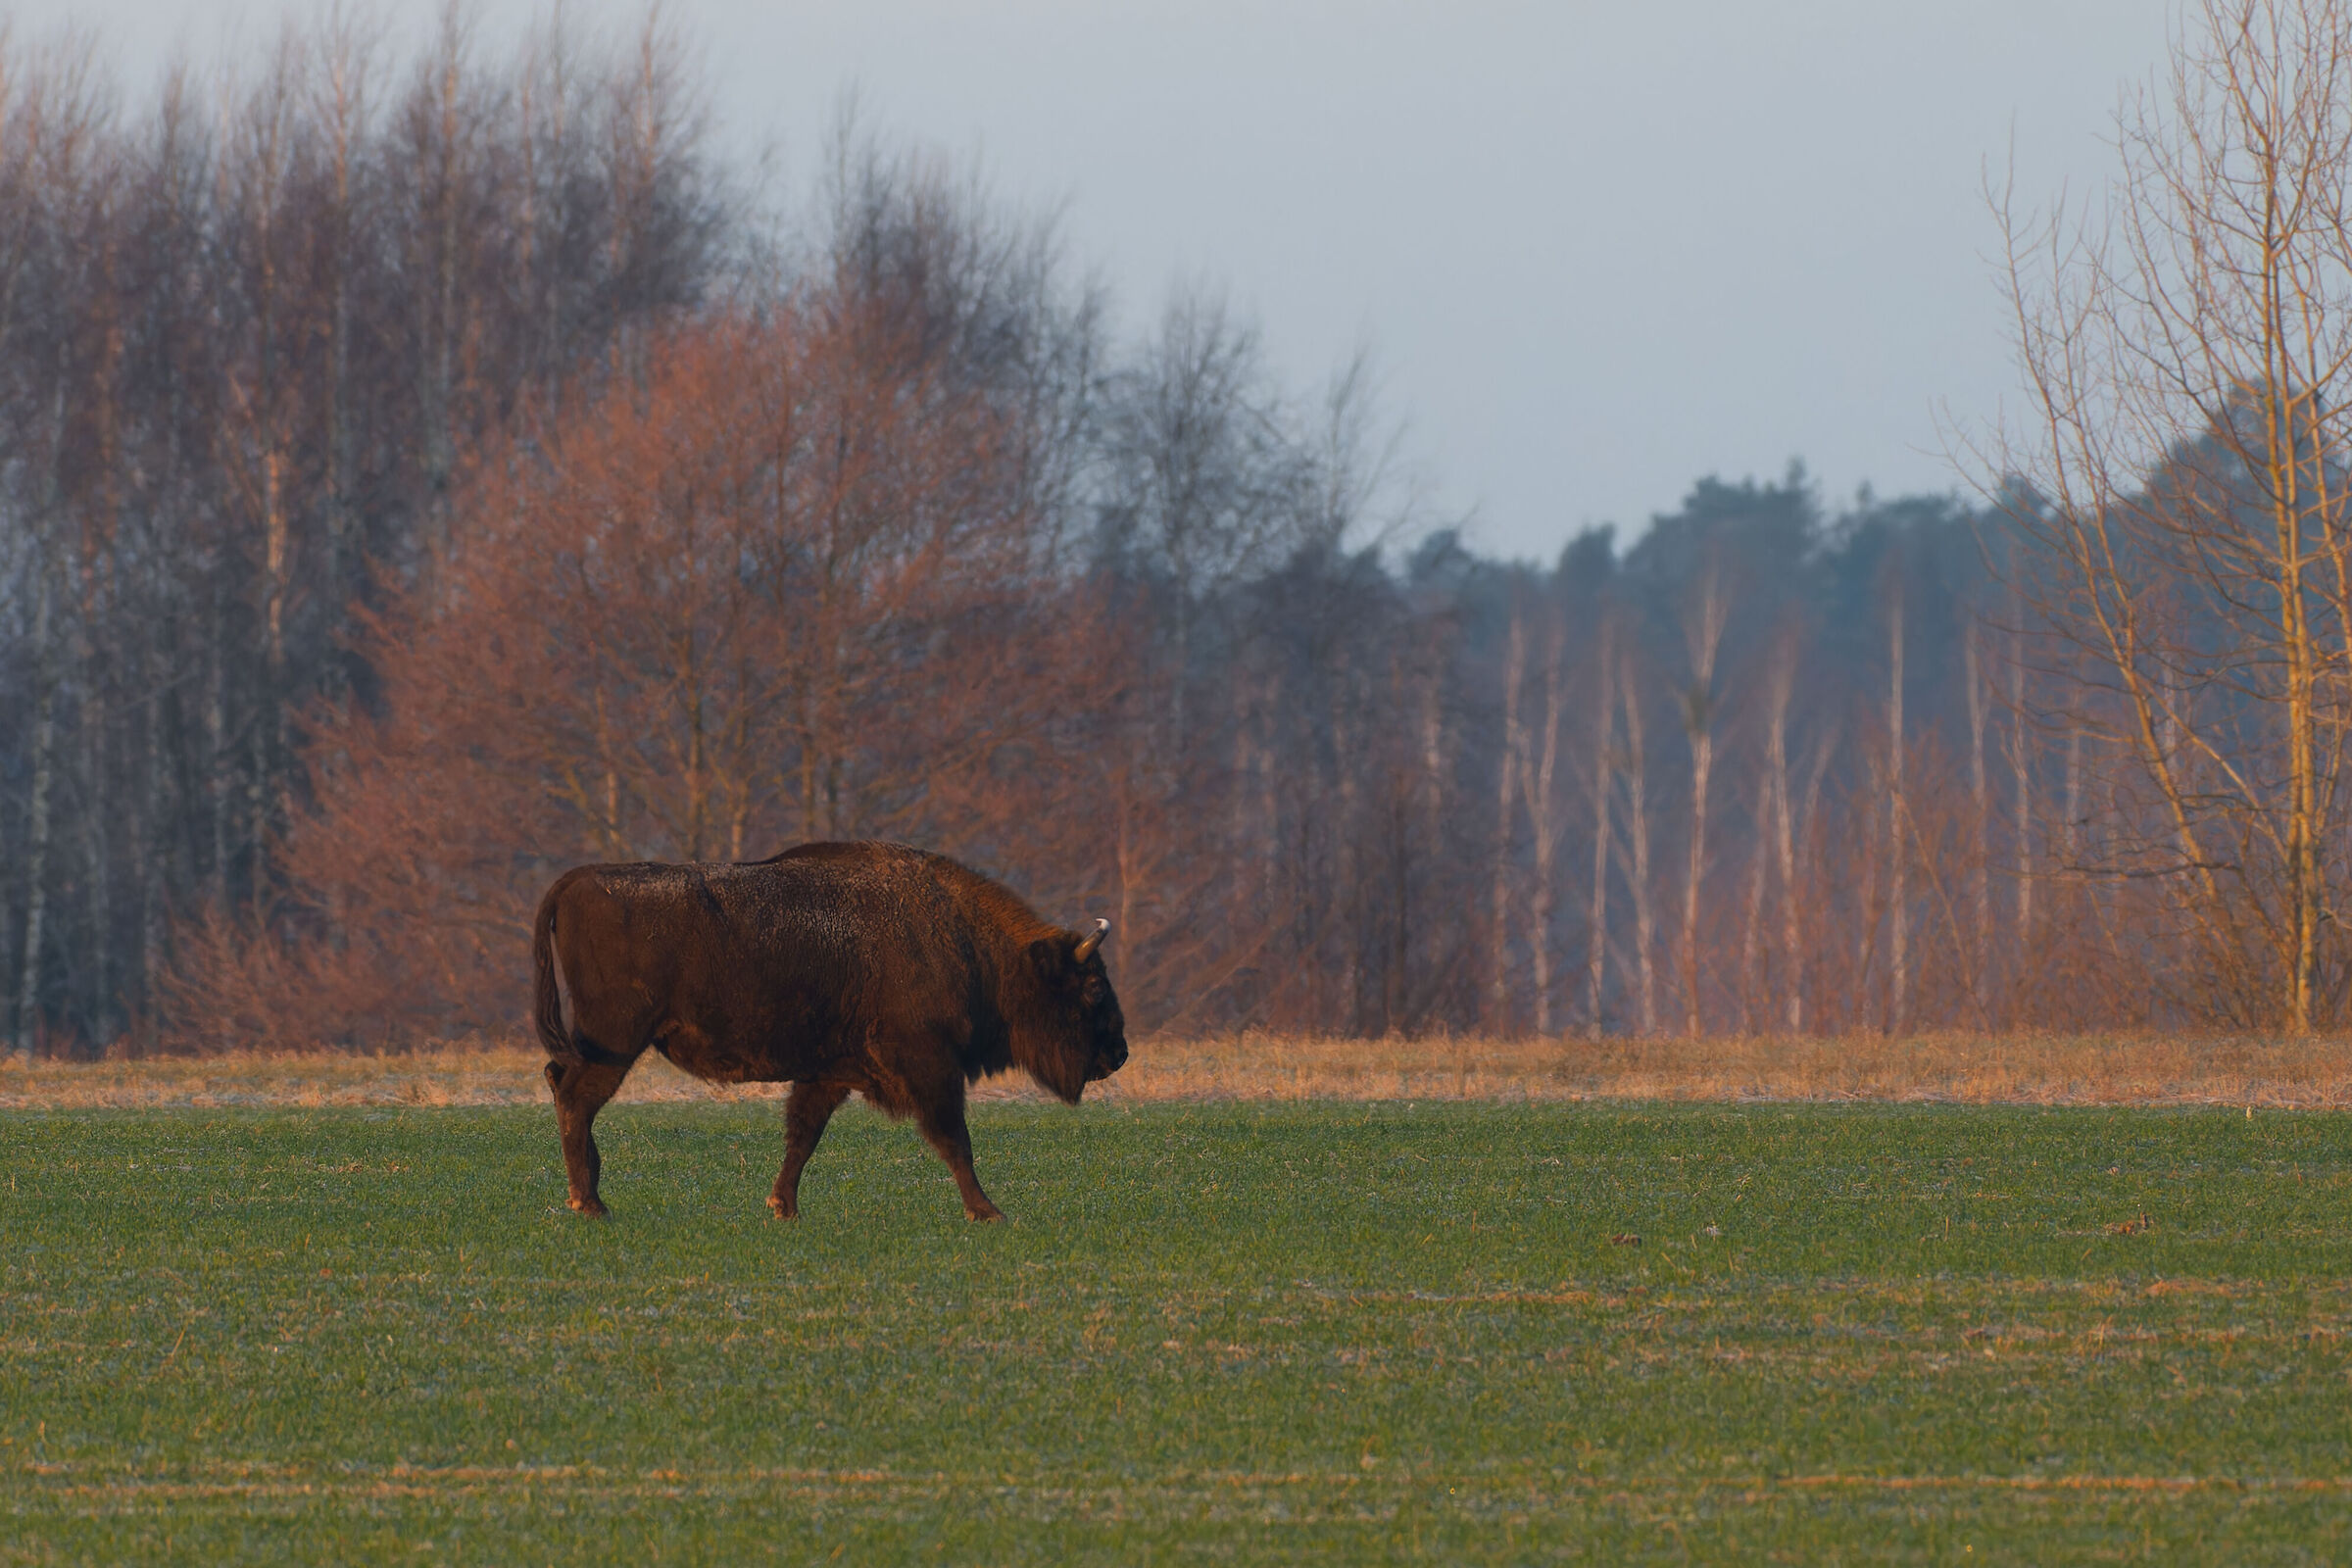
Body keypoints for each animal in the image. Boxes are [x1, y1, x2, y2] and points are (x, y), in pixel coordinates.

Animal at [531, 840, 1127, 1221]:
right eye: (1093, 988)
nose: (1119, 1053)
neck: (967, 942)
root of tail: (576, 880)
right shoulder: (931, 1068)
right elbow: (955, 1140)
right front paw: (988, 1212)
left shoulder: (829, 1074)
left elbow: (803, 1136)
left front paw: (783, 1207)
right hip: (614, 1043)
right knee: (575, 1097)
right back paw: (589, 1203)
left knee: (561, 1084)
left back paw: (593, 1194)